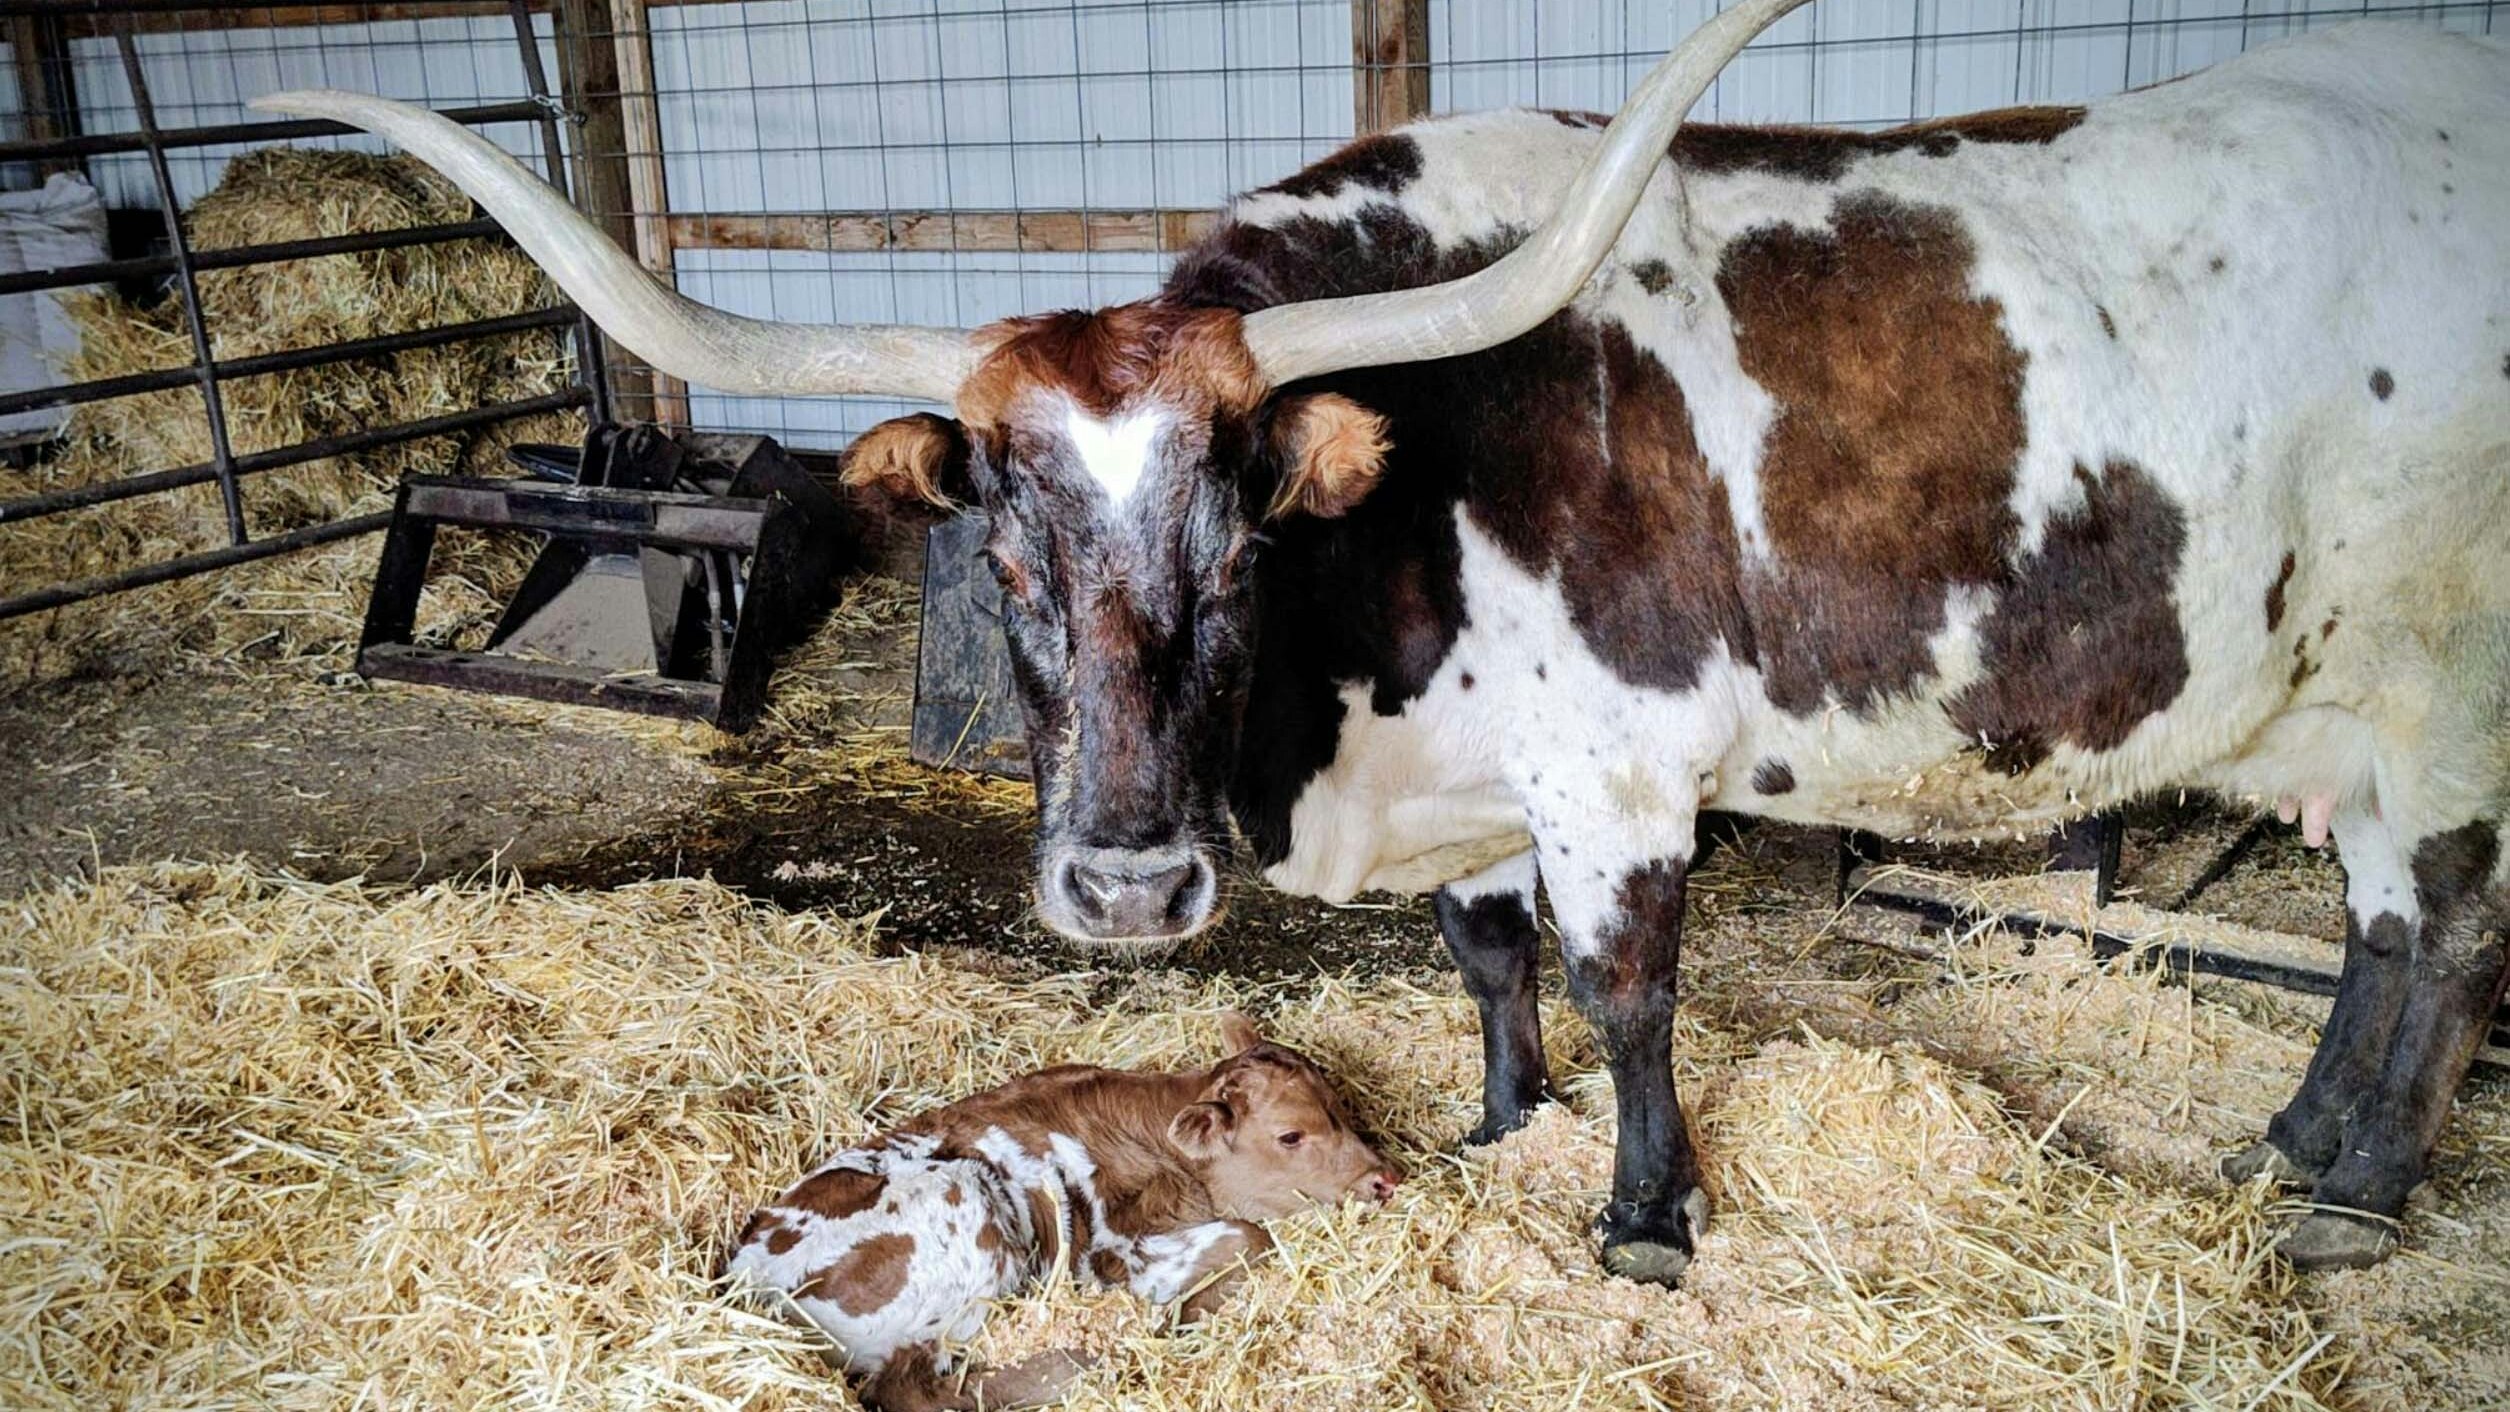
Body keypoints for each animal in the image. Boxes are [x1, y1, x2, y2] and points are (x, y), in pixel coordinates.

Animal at [259, 0, 2510, 1284]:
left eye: (1242, 531)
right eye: (1004, 542)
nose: (1128, 886)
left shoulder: (1615, 775)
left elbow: (1622, 992)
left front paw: (1640, 1219)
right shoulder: (1478, 793)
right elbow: (1490, 965)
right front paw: (1504, 1133)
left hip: (2449, 682)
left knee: (2450, 938)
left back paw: (2358, 1197)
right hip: (2336, 698)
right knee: (2381, 925)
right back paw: (2295, 1141)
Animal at [726, 1015, 1398, 1411]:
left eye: (1339, 1103)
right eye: (1290, 1135)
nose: (1385, 1178)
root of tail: (748, 1279)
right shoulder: (1114, 1249)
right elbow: (1249, 1233)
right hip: (966, 1213)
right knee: (928, 1387)